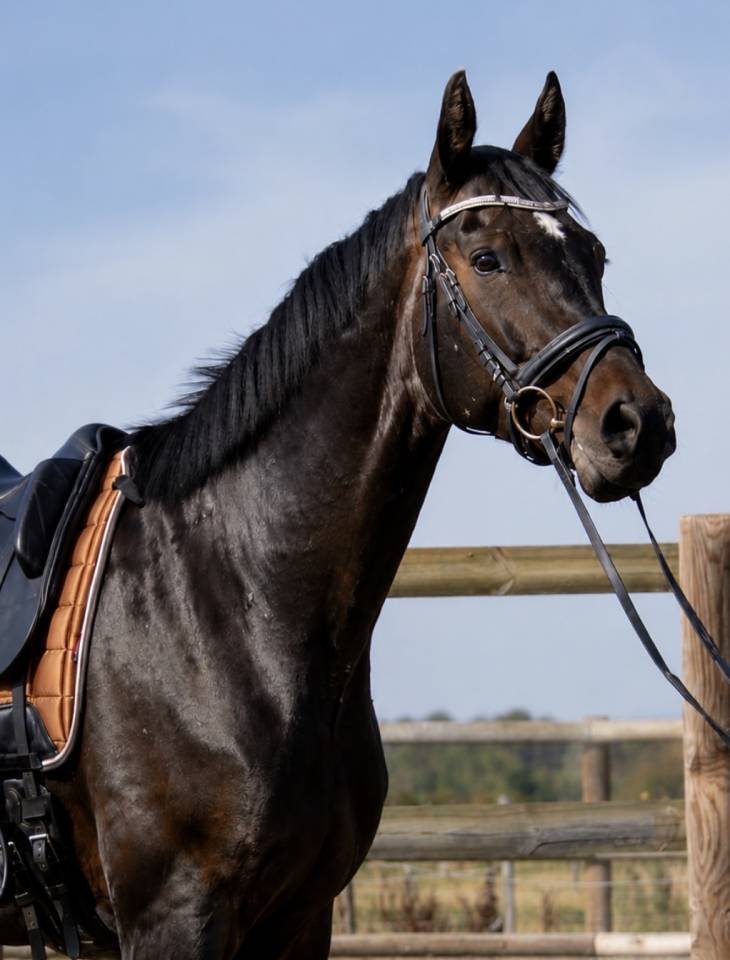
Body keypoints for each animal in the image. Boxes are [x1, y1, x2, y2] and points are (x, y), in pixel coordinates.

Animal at [0, 70, 675, 958]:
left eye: (594, 256)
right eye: (487, 258)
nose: (638, 424)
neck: (226, 603)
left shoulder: (300, 918)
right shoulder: (172, 919)